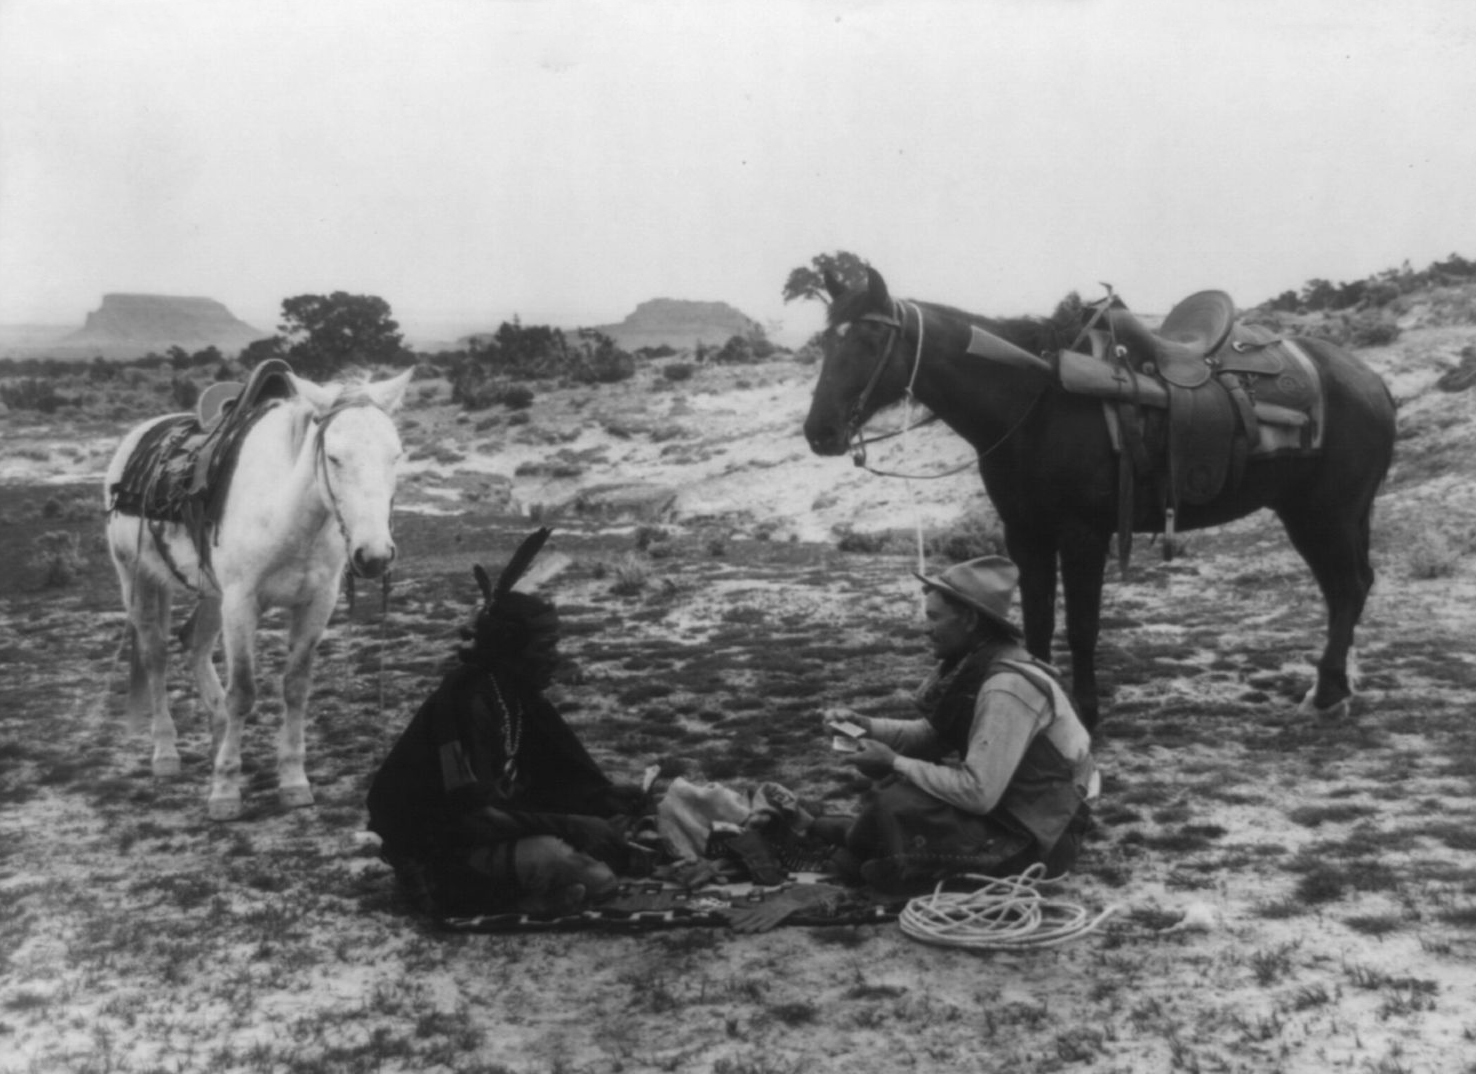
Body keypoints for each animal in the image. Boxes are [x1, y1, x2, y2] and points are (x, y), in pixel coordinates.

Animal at [105, 364, 410, 820]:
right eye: (334, 457)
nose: (374, 555)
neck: (287, 514)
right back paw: (166, 752)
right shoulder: (241, 604)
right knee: (156, 655)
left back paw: (217, 737)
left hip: (211, 594)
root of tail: (138, 436)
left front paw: (293, 781)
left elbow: (296, 687)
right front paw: (225, 791)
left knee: (193, 645)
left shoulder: (316, 605)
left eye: (396, 455)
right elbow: (244, 693)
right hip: (137, 578)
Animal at [808, 268, 1393, 728]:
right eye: (827, 342)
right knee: (1350, 587)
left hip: (1326, 514)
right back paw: (1337, 687)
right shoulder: (1026, 534)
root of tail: (1370, 382)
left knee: (1347, 588)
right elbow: (1037, 622)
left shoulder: (1083, 536)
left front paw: (1085, 713)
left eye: (867, 340)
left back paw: (1326, 693)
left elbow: (1081, 627)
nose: (821, 431)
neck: (1037, 402)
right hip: (1323, 515)